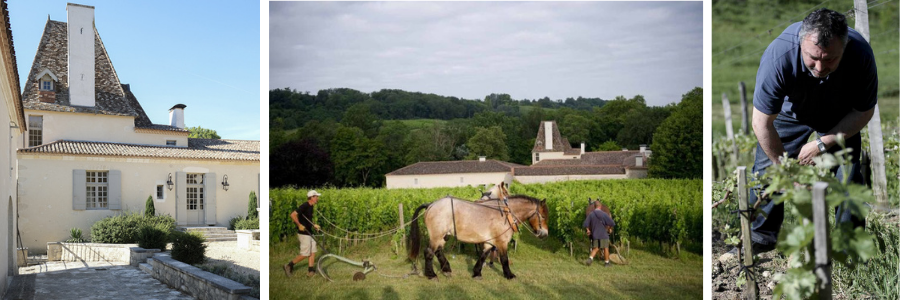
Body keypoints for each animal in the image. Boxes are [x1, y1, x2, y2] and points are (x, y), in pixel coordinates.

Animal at [408, 195, 548, 278]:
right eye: (543, 216)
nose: (545, 234)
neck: (505, 214)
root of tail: (431, 204)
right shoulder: (502, 242)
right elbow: (504, 259)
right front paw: (509, 275)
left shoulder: (489, 242)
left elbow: (483, 256)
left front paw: (476, 272)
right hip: (436, 236)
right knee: (429, 252)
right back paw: (431, 274)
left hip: (443, 236)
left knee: (438, 251)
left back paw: (446, 269)